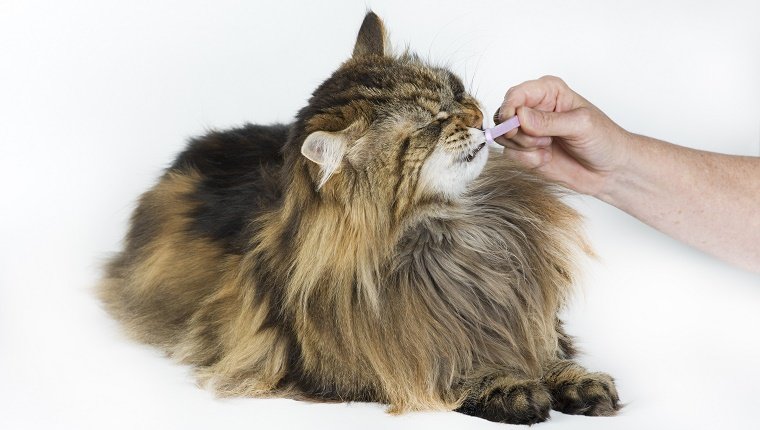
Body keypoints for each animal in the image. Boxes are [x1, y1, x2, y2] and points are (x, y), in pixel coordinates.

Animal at [98, 11, 620, 424]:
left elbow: (549, 348)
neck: (457, 230)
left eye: (455, 90)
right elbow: (448, 366)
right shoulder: (352, 362)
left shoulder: (518, 309)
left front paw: (574, 380)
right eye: (430, 127)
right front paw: (507, 384)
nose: (477, 116)